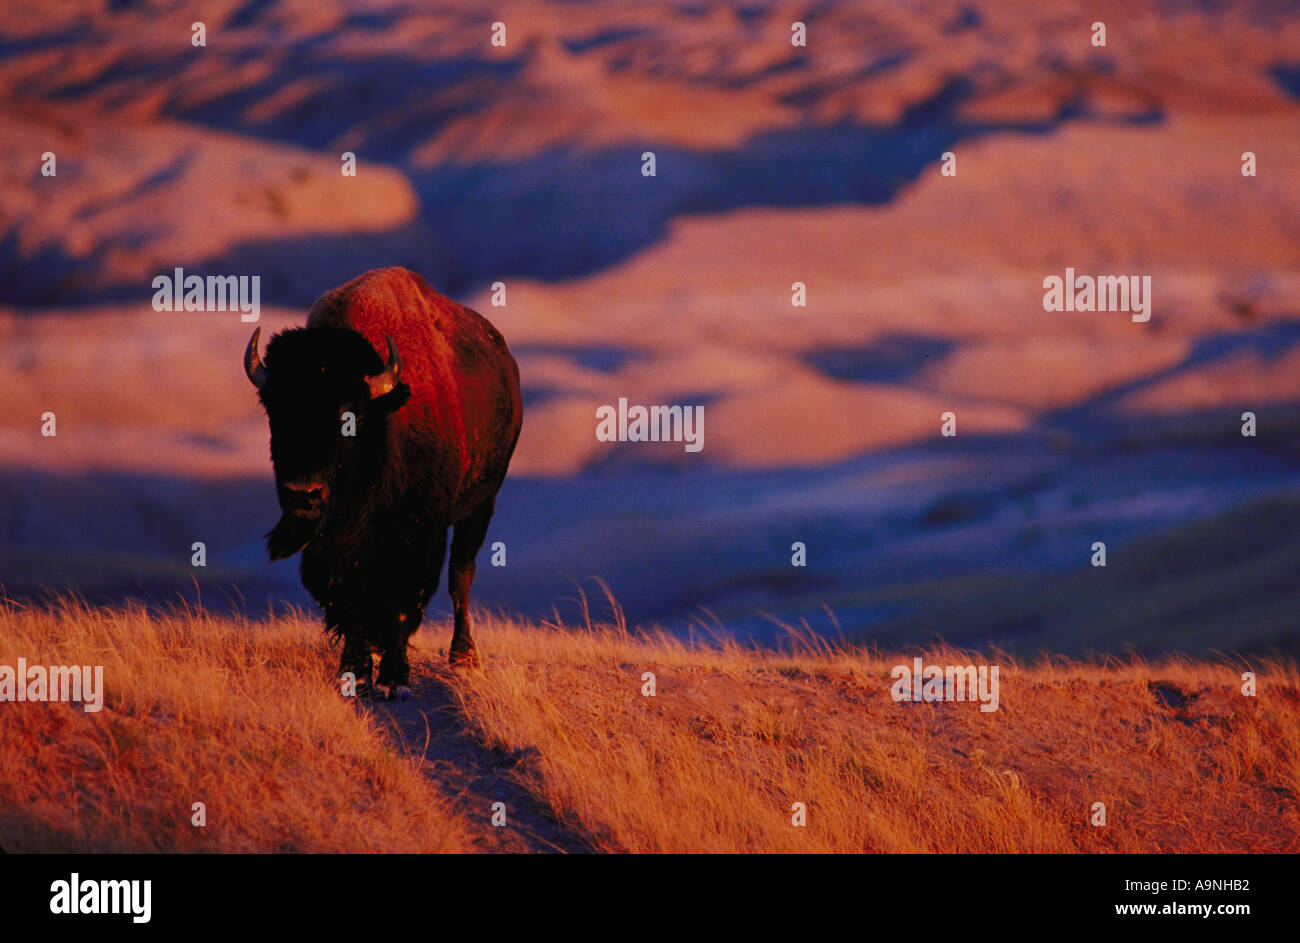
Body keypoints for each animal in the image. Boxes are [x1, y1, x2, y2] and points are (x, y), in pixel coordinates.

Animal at [244, 267, 522, 697]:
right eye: (275, 410)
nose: (303, 493)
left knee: (461, 575)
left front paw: (395, 678)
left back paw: (464, 659)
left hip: (481, 505)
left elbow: (404, 604)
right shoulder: (336, 550)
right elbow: (348, 603)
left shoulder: (419, 534)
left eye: (350, 415)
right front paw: (355, 672)